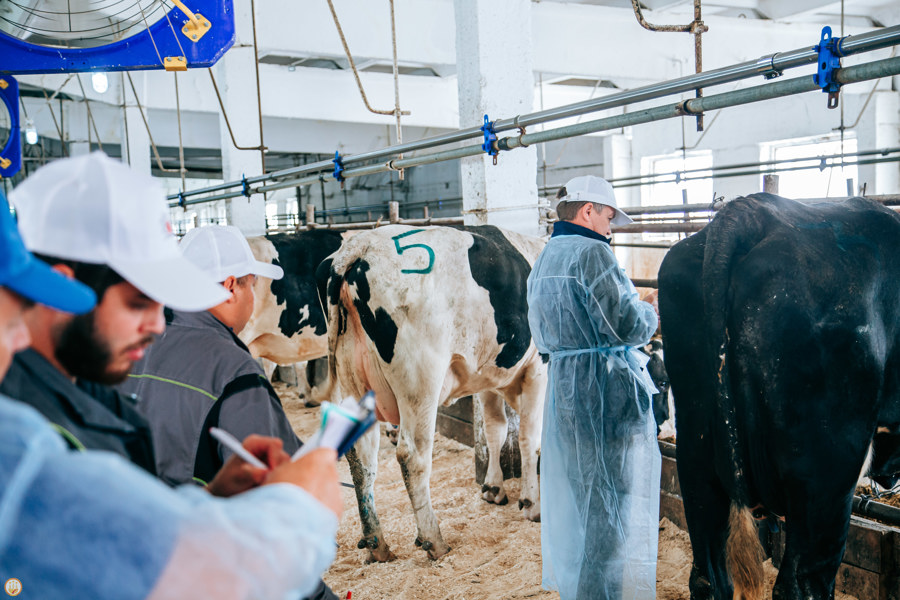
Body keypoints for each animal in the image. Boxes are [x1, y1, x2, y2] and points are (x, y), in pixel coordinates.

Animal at [322, 223, 548, 560]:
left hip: (355, 382)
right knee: (412, 456)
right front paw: (532, 504)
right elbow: (528, 437)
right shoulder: (538, 367)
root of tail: (359, 246)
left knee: (361, 456)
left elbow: (494, 429)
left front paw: (494, 488)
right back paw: (433, 540)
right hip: (420, 383)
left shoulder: (487, 376)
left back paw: (377, 544)